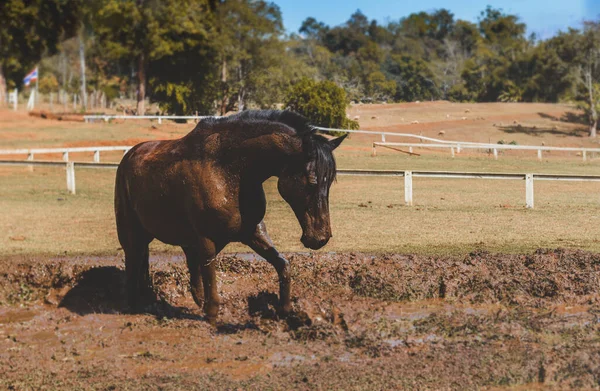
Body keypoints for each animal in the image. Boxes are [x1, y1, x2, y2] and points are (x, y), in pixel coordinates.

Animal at [113, 108, 346, 324]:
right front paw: (211, 318)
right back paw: (133, 305)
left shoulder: (253, 232)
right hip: (132, 233)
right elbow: (211, 281)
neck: (229, 170)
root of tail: (129, 155)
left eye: (330, 181)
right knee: (134, 260)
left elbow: (284, 266)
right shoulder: (206, 239)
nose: (320, 238)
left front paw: (286, 311)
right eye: (312, 182)